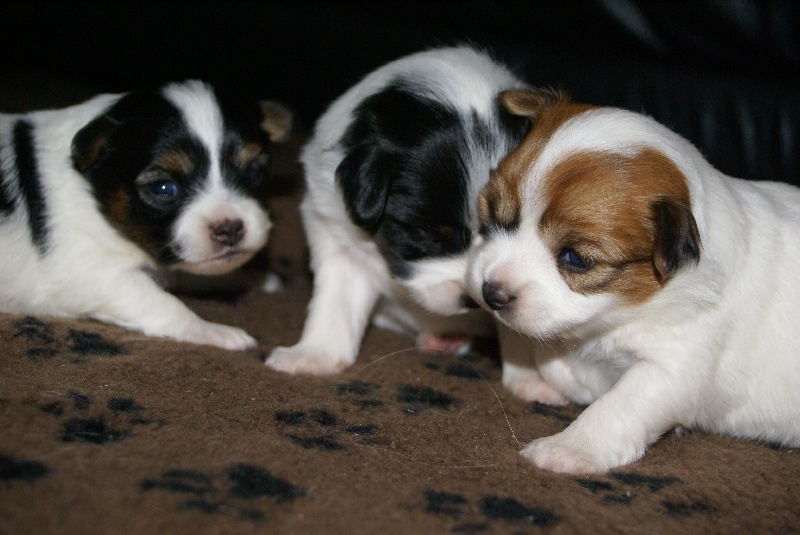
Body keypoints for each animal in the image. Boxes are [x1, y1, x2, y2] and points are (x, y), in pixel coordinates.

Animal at [0, 78, 294, 348]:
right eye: (164, 188)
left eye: (254, 172)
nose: (230, 229)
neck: (93, 192)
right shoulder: (86, 270)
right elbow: (162, 301)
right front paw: (214, 331)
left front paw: (253, 277)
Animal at [268, 46, 532, 374]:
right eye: (421, 234)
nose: (472, 299)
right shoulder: (336, 232)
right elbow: (337, 298)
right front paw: (313, 356)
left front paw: (531, 378)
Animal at [466, 90, 800, 476]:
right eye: (493, 217)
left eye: (575, 258)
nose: (491, 293)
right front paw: (534, 379)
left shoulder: (675, 364)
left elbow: (618, 404)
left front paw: (565, 448)